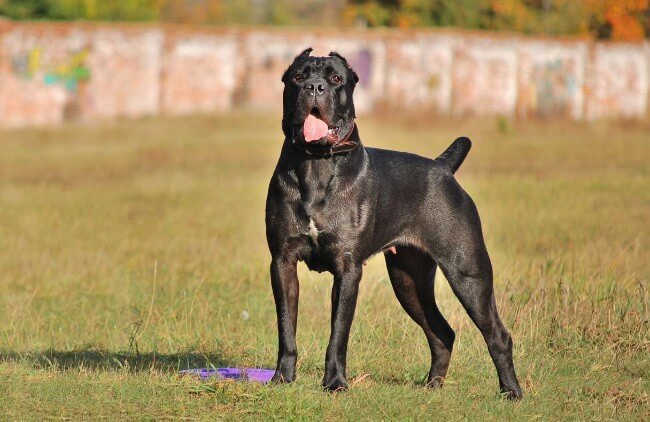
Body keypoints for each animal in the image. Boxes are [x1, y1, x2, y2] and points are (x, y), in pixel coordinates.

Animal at [264, 47, 520, 400]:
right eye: (298, 76)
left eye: (335, 78)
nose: (315, 87)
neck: (315, 164)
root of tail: (443, 168)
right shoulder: (283, 262)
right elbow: (286, 325)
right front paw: (282, 378)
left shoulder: (347, 269)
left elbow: (338, 333)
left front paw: (335, 383)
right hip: (408, 279)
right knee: (442, 331)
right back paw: (432, 386)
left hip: (467, 271)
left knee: (497, 333)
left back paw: (511, 392)